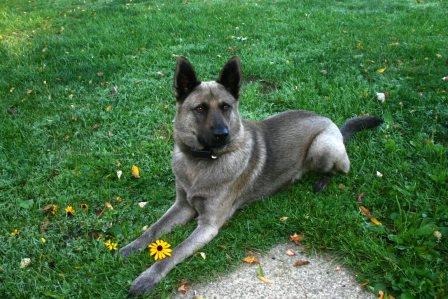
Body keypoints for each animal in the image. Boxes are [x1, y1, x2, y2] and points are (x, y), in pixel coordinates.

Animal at [119, 56, 382, 296]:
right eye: (200, 108)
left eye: (226, 107)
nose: (222, 134)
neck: (202, 162)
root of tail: (333, 124)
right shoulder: (182, 206)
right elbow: (153, 229)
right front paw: (131, 247)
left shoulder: (208, 225)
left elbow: (176, 251)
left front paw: (148, 277)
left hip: (323, 146)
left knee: (341, 170)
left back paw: (320, 181)